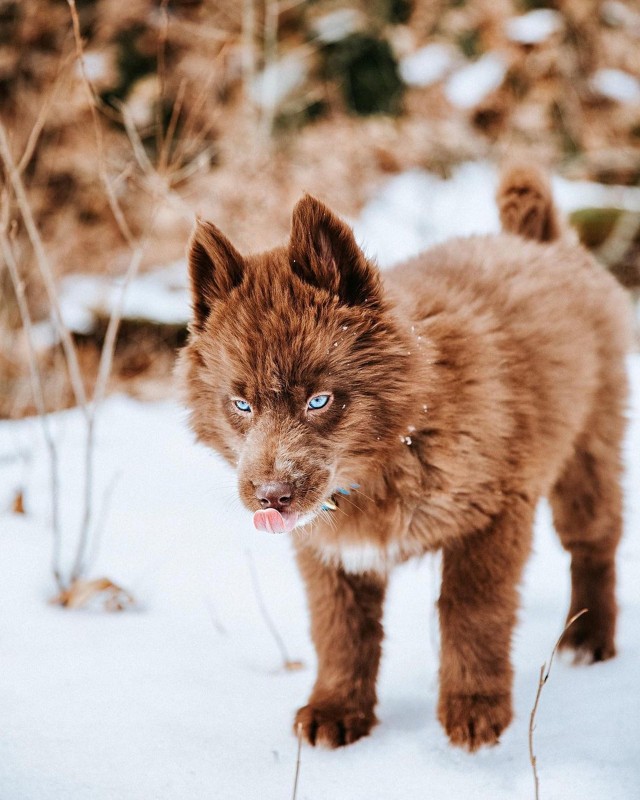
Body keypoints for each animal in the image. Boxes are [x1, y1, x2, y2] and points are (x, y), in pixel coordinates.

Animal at [178, 166, 632, 752]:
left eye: (318, 400)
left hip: (589, 447)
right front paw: (337, 710)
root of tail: (543, 240)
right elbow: (340, 631)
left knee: (594, 545)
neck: (399, 443)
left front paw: (475, 711)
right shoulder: (331, 550)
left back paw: (588, 639)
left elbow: (472, 612)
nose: (271, 497)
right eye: (241, 405)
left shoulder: (493, 513)